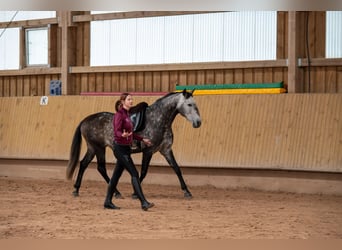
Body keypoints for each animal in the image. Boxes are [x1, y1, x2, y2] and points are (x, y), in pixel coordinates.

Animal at [65, 89, 202, 197]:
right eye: (189, 104)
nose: (198, 122)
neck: (158, 120)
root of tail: (85, 120)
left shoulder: (166, 150)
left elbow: (177, 169)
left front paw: (187, 191)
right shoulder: (148, 151)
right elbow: (144, 171)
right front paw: (136, 193)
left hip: (92, 148)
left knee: (84, 164)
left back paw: (77, 189)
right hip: (98, 148)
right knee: (100, 167)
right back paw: (115, 192)